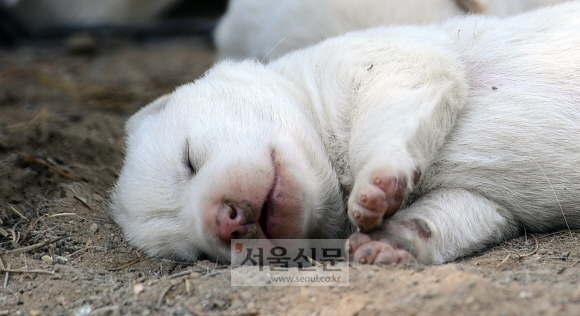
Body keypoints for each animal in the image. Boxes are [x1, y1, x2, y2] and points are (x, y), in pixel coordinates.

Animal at [112, 3, 580, 264]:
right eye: (195, 254)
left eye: (189, 159)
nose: (223, 222)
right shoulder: (486, 203)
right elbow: (457, 212)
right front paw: (388, 242)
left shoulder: (387, 62)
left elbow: (388, 113)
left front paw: (375, 187)